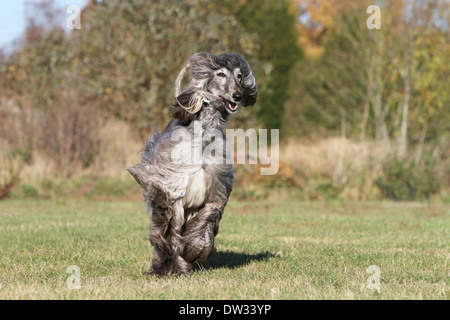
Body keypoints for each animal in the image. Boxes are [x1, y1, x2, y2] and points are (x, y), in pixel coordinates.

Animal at [128, 52, 258, 276]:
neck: (203, 136)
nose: (238, 96)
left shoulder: (216, 189)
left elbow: (207, 218)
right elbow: (169, 228)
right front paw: (169, 265)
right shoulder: (170, 186)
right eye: (221, 74)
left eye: (240, 76)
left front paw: (194, 248)